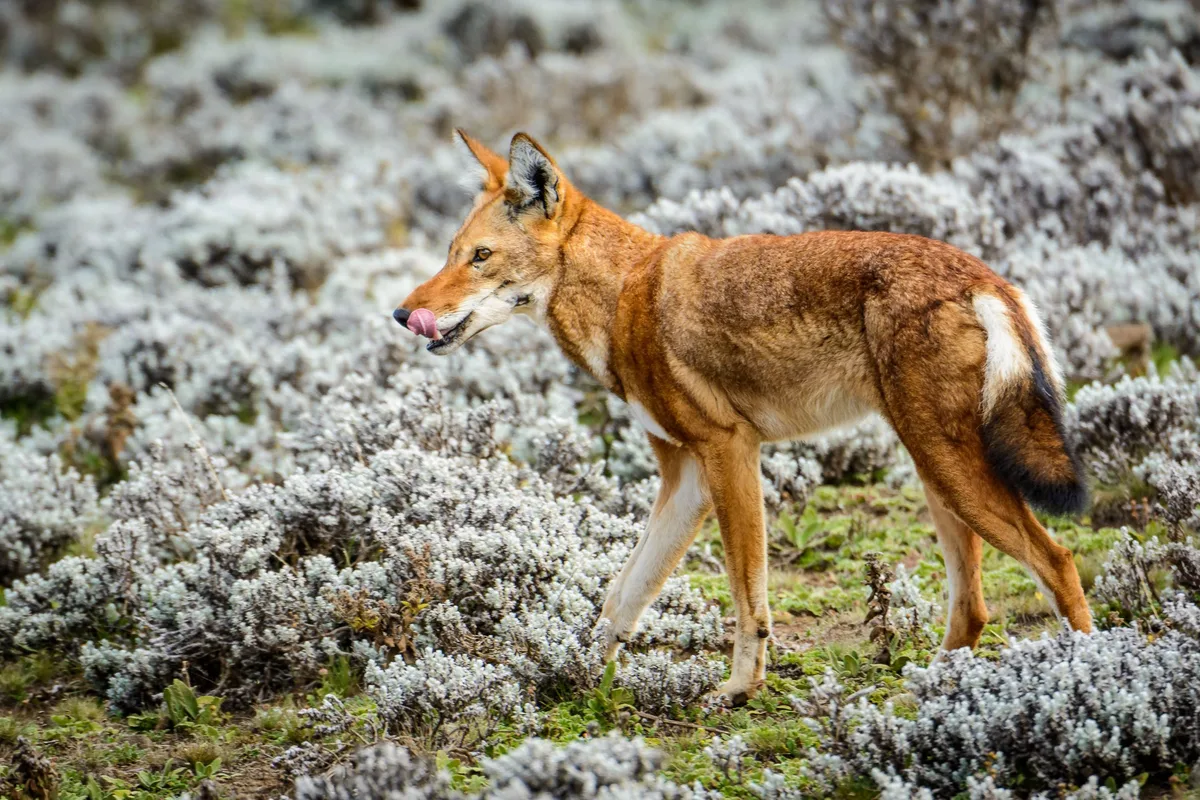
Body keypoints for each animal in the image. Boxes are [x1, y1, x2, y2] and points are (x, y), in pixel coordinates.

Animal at [394, 130, 1091, 705]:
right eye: (451, 252)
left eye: (480, 257)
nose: (403, 314)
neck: (623, 295)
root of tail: (986, 277)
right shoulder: (685, 480)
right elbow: (621, 597)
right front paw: (572, 677)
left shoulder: (729, 452)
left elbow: (745, 596)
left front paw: (738, 690)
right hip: (935, 475)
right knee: (973, 608)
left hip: (949, 470)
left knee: (1057, 561)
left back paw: (1088, 673)